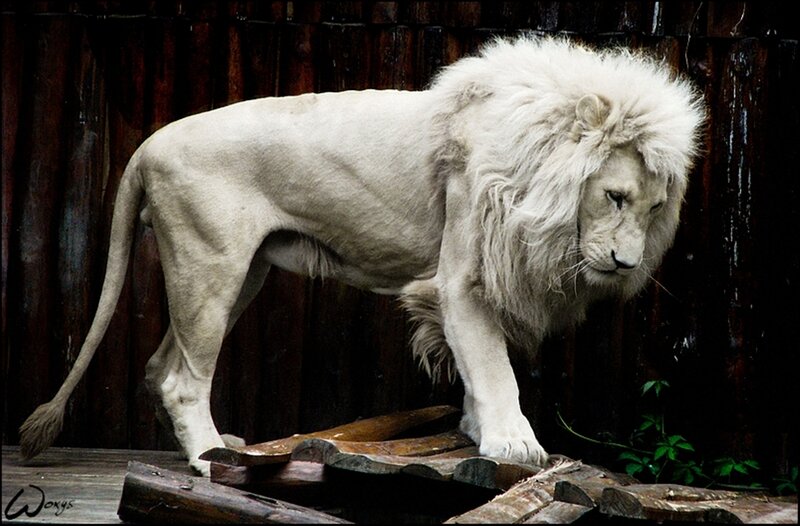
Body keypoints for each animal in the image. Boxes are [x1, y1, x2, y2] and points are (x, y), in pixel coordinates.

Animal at [19, 36, 704, 476]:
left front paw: (476, 431)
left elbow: (474, 368)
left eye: (654, 210)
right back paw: (210, 459)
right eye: (614, 196)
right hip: (211, 264)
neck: (534, 167)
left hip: (242, 273)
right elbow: (493, 365)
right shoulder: (462, 277)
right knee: (183, 378)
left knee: (162, 365)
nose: (625, 264)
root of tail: (146, 145)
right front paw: (514, 446)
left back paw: (215, 447)